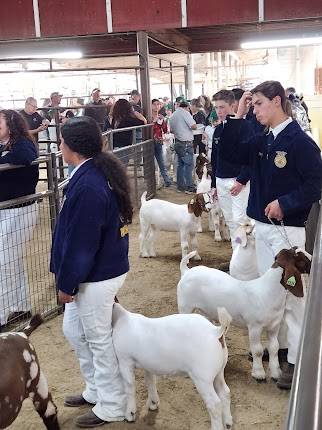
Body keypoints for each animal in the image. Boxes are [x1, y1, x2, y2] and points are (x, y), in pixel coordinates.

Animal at [112, 302, 233, 430]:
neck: (121, 319)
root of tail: (215, 332)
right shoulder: (148, 365)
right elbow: (150, 381)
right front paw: (153, 403)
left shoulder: (124, 360)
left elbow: (129, 386)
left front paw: (130, 414)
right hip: (218, 372)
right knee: (225, 392)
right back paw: (228, 423)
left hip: (202, 378)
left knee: (214, 404)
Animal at [177, 247, 310, 382]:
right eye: (300, 257)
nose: (312, 259)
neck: (267, 291)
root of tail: (187, 271)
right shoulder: (254, 327)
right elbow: (257, 350)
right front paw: (258, 374)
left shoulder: (274, 325)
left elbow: (274, 347)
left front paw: (276, 373)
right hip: (185, 306)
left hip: (207, 311)